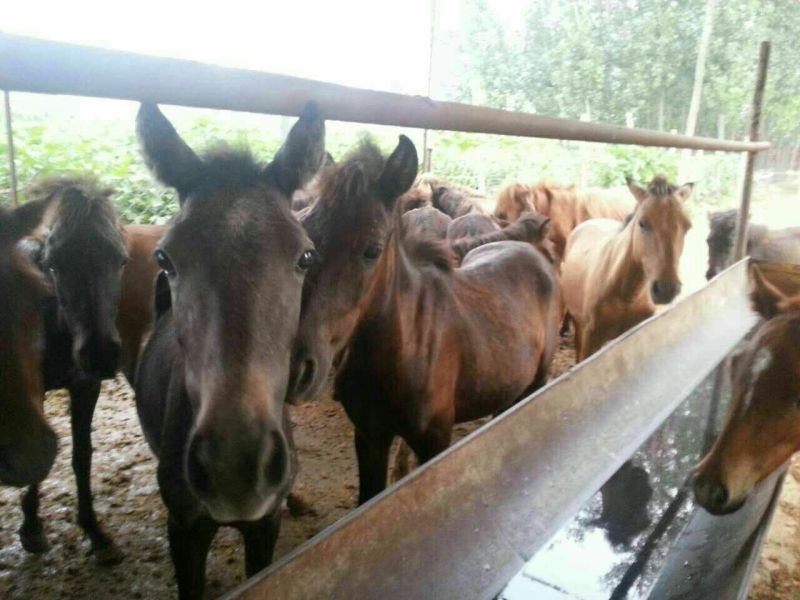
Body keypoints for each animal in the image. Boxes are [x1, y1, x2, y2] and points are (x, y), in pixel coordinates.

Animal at [15, 176, 162, 564]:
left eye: (121, 260)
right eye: (53, 263)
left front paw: (95, 532)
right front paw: (31, 528)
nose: (99, 354)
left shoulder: (85, 386)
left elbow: (82, 456)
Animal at [292, 137, 561, 503]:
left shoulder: (433, 442)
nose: (299, 368)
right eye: (308, 239)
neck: (404, 346)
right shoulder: (369, 435)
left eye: (373, 250)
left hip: (534, 384)